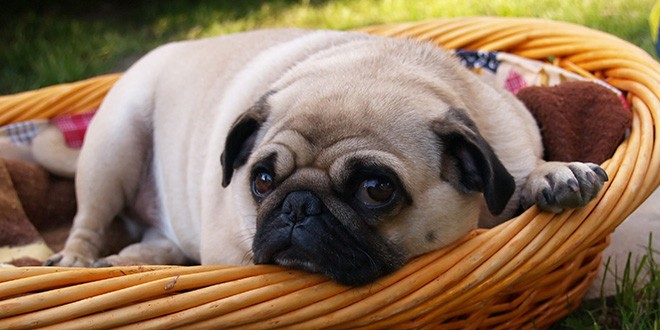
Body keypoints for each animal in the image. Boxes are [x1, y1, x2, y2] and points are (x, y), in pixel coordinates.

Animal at [43, 29, 604, 286]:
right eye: (261, 180)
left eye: (377, 190)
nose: (299, 205)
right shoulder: (225, 249)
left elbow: (527, 170)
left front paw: (555, 173)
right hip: (113, 145)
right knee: (88, 222)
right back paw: (75, 260)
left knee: (156, 244)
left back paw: (125, 261)